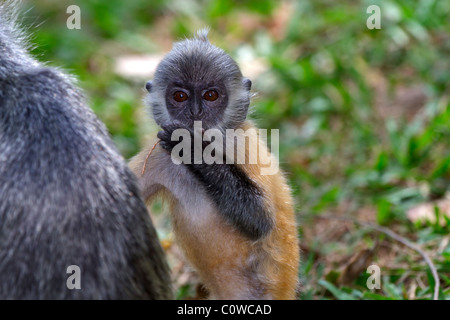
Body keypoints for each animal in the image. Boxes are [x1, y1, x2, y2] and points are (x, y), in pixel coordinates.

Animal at [129, 30, 298, 300]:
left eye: (211, 95)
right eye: (180, 96)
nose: (195, 112)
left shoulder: (241, 141)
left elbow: (261, 221)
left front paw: (192, 149)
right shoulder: (158, 157)